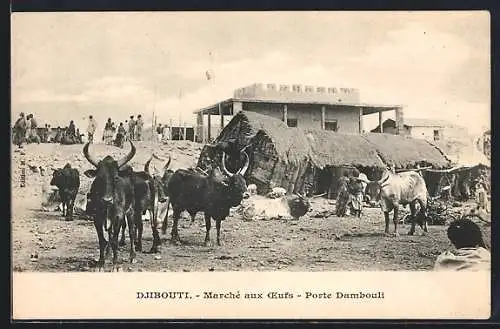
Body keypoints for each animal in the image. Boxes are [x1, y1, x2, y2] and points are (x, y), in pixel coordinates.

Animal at [83, 139, 137, 270]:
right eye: (99, 178)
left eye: (116, 177)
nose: (107, 200)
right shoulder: (97, 217)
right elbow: (102, 240)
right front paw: (101, 262)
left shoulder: (118, 216)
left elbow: (114, 241)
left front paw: (116, 264)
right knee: (110, 233)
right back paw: (108, 256)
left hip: (131, 210)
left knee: (131, 232)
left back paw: (132, 256)